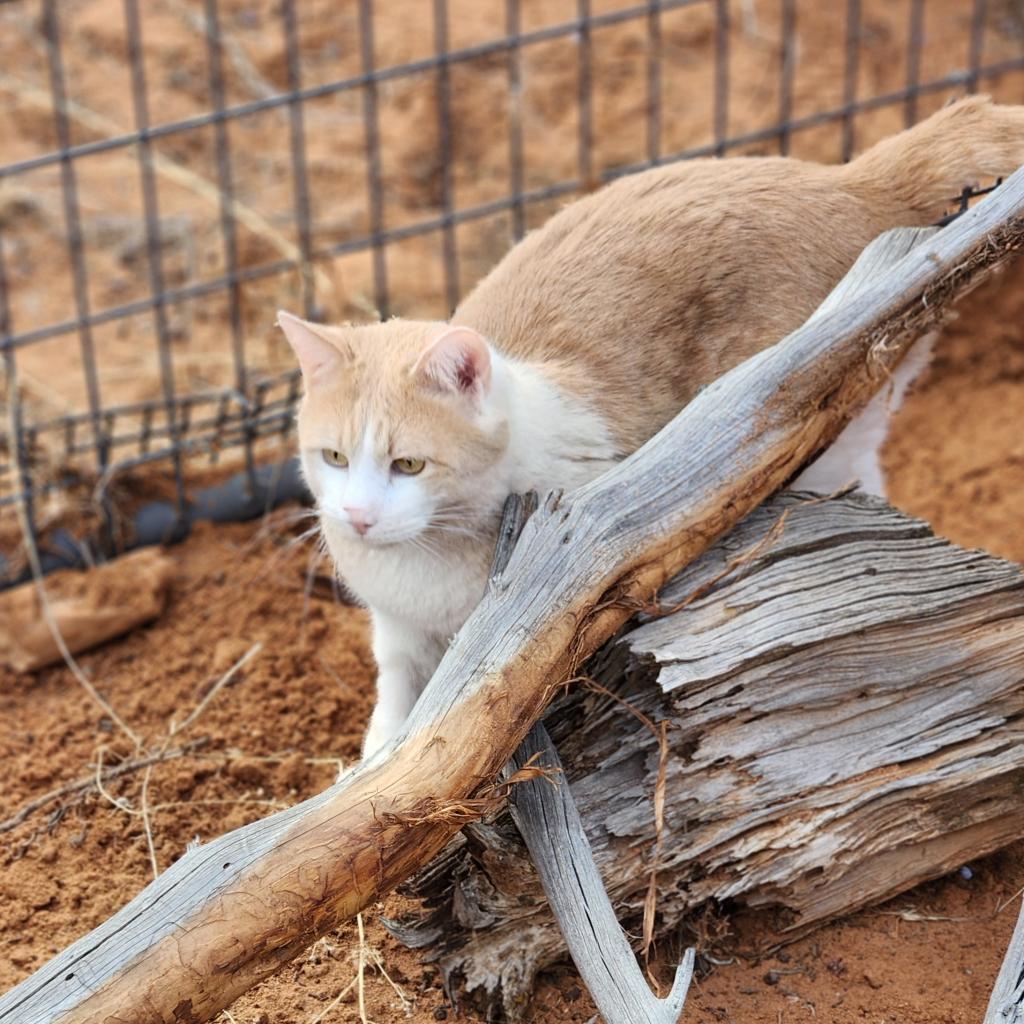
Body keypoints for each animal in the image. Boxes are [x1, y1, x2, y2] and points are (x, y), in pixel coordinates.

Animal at [278, 97, 1024, 761]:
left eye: (408, 465)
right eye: (333, 456)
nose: (357, 517)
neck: (426, 558)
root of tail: (850, 180)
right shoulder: (397, 631)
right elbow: (392, 722)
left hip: (821, 437)